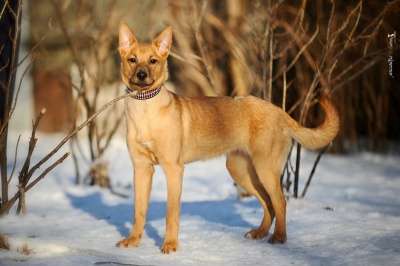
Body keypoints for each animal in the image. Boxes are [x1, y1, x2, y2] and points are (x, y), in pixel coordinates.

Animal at [115, 22, 338, 254]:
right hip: (241, 170)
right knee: (268, 203)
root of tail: (280, 112)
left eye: (153, 61)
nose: (141, 75)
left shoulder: (173, 169)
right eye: (132, 59)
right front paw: (133, 240)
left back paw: (279, 237)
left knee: (280, 202)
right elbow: (138, 211)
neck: (145, 108)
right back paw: (259, 233)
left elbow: (171, 214)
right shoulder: (141, 168)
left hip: (265, 168)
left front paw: (170, 245)